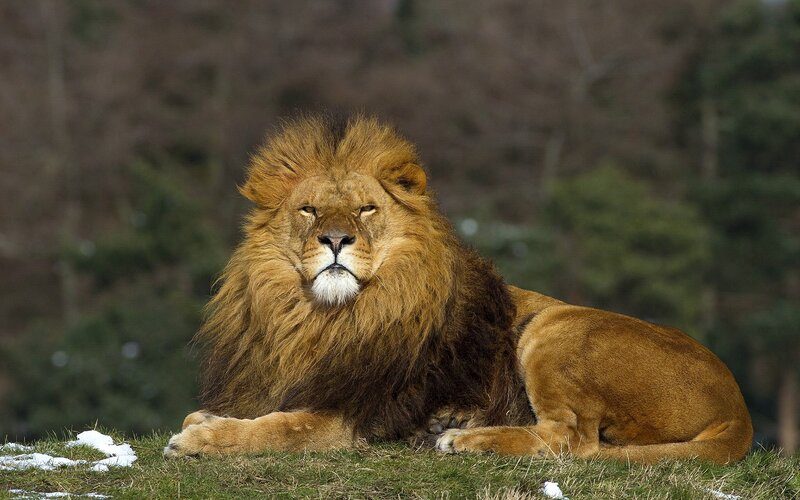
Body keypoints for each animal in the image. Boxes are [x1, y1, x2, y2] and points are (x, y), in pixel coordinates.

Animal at [164, 115, 752, 464]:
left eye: (365, 209)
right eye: (308, 210)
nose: (335, 239)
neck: (324, 319)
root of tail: (737, 406)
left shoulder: (358, 415)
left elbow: (277, 430)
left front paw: (200, 437)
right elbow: (254, 414)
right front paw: (205, 419)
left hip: (556, 327)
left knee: (573, 440)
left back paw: (462, 438)